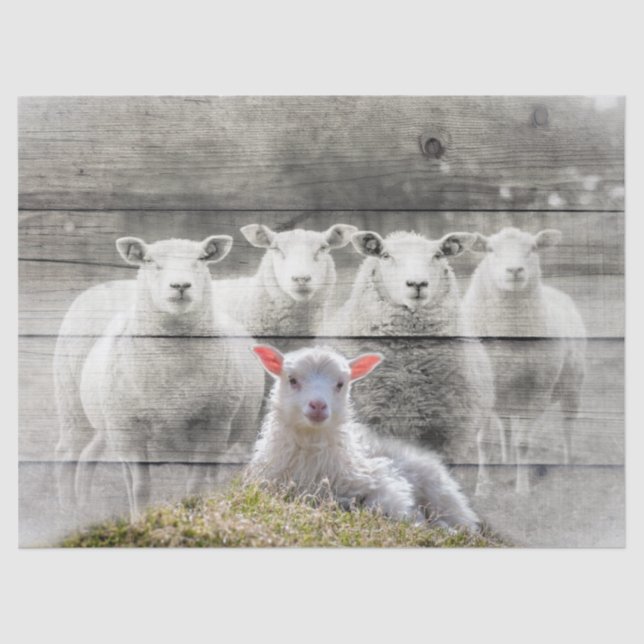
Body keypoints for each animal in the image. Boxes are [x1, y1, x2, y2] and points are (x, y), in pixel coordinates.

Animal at [54, 235, 265, 520]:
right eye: (150, 261)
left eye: (201, 259)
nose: (180, 285)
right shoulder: (131, 430)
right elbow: (141, 487)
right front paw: (140, 520)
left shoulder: (212, 426)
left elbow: (194, 484)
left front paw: (193, 514)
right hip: (79, 409)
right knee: (72, 453)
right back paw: (70, 510)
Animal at [246, 344, 479, 530]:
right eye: (292, 380)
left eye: (340, 384)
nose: (318, 405)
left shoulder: (384, 481)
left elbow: (387, 506)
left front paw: (419, 522)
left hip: (441, 493)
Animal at [461, 227, 586, 494]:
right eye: (490, 249)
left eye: (533, 248)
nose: (515, 270)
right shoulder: (484, 390)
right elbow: (484, 441)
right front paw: (483, 487)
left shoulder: (536, 391)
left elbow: (524, 443)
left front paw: (522, 489)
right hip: (505, 394)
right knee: (505, 426)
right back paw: (506, 461)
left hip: (572, 386)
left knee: (567, 425)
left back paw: (568, 464)